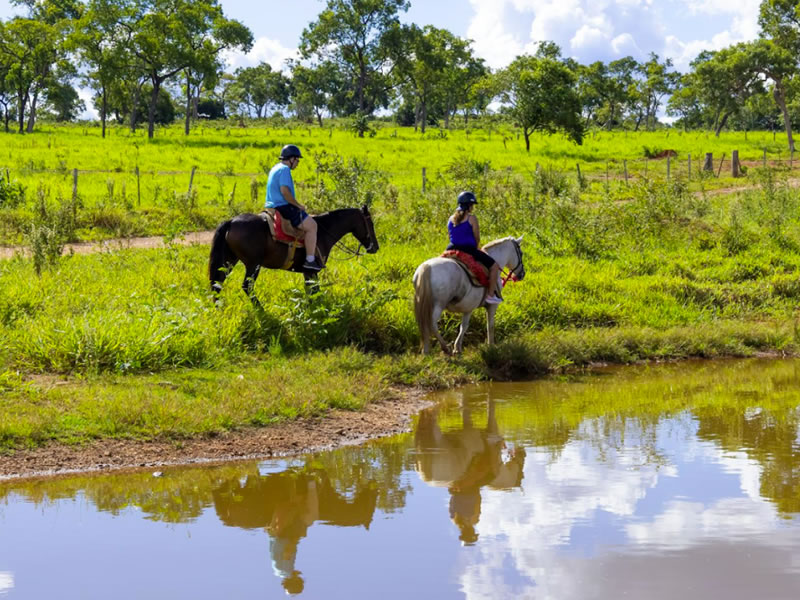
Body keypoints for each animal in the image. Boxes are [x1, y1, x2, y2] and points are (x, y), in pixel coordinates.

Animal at [209, 206, 378, 302]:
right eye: (370, 223)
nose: (375, 247)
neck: (323, 231)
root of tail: (231, 221)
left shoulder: (307, 273)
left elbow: (311, 292)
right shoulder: (311, 271)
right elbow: (314, 291)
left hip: (229, 261)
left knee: (217, 283)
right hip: (253, 264)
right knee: (247, 287)